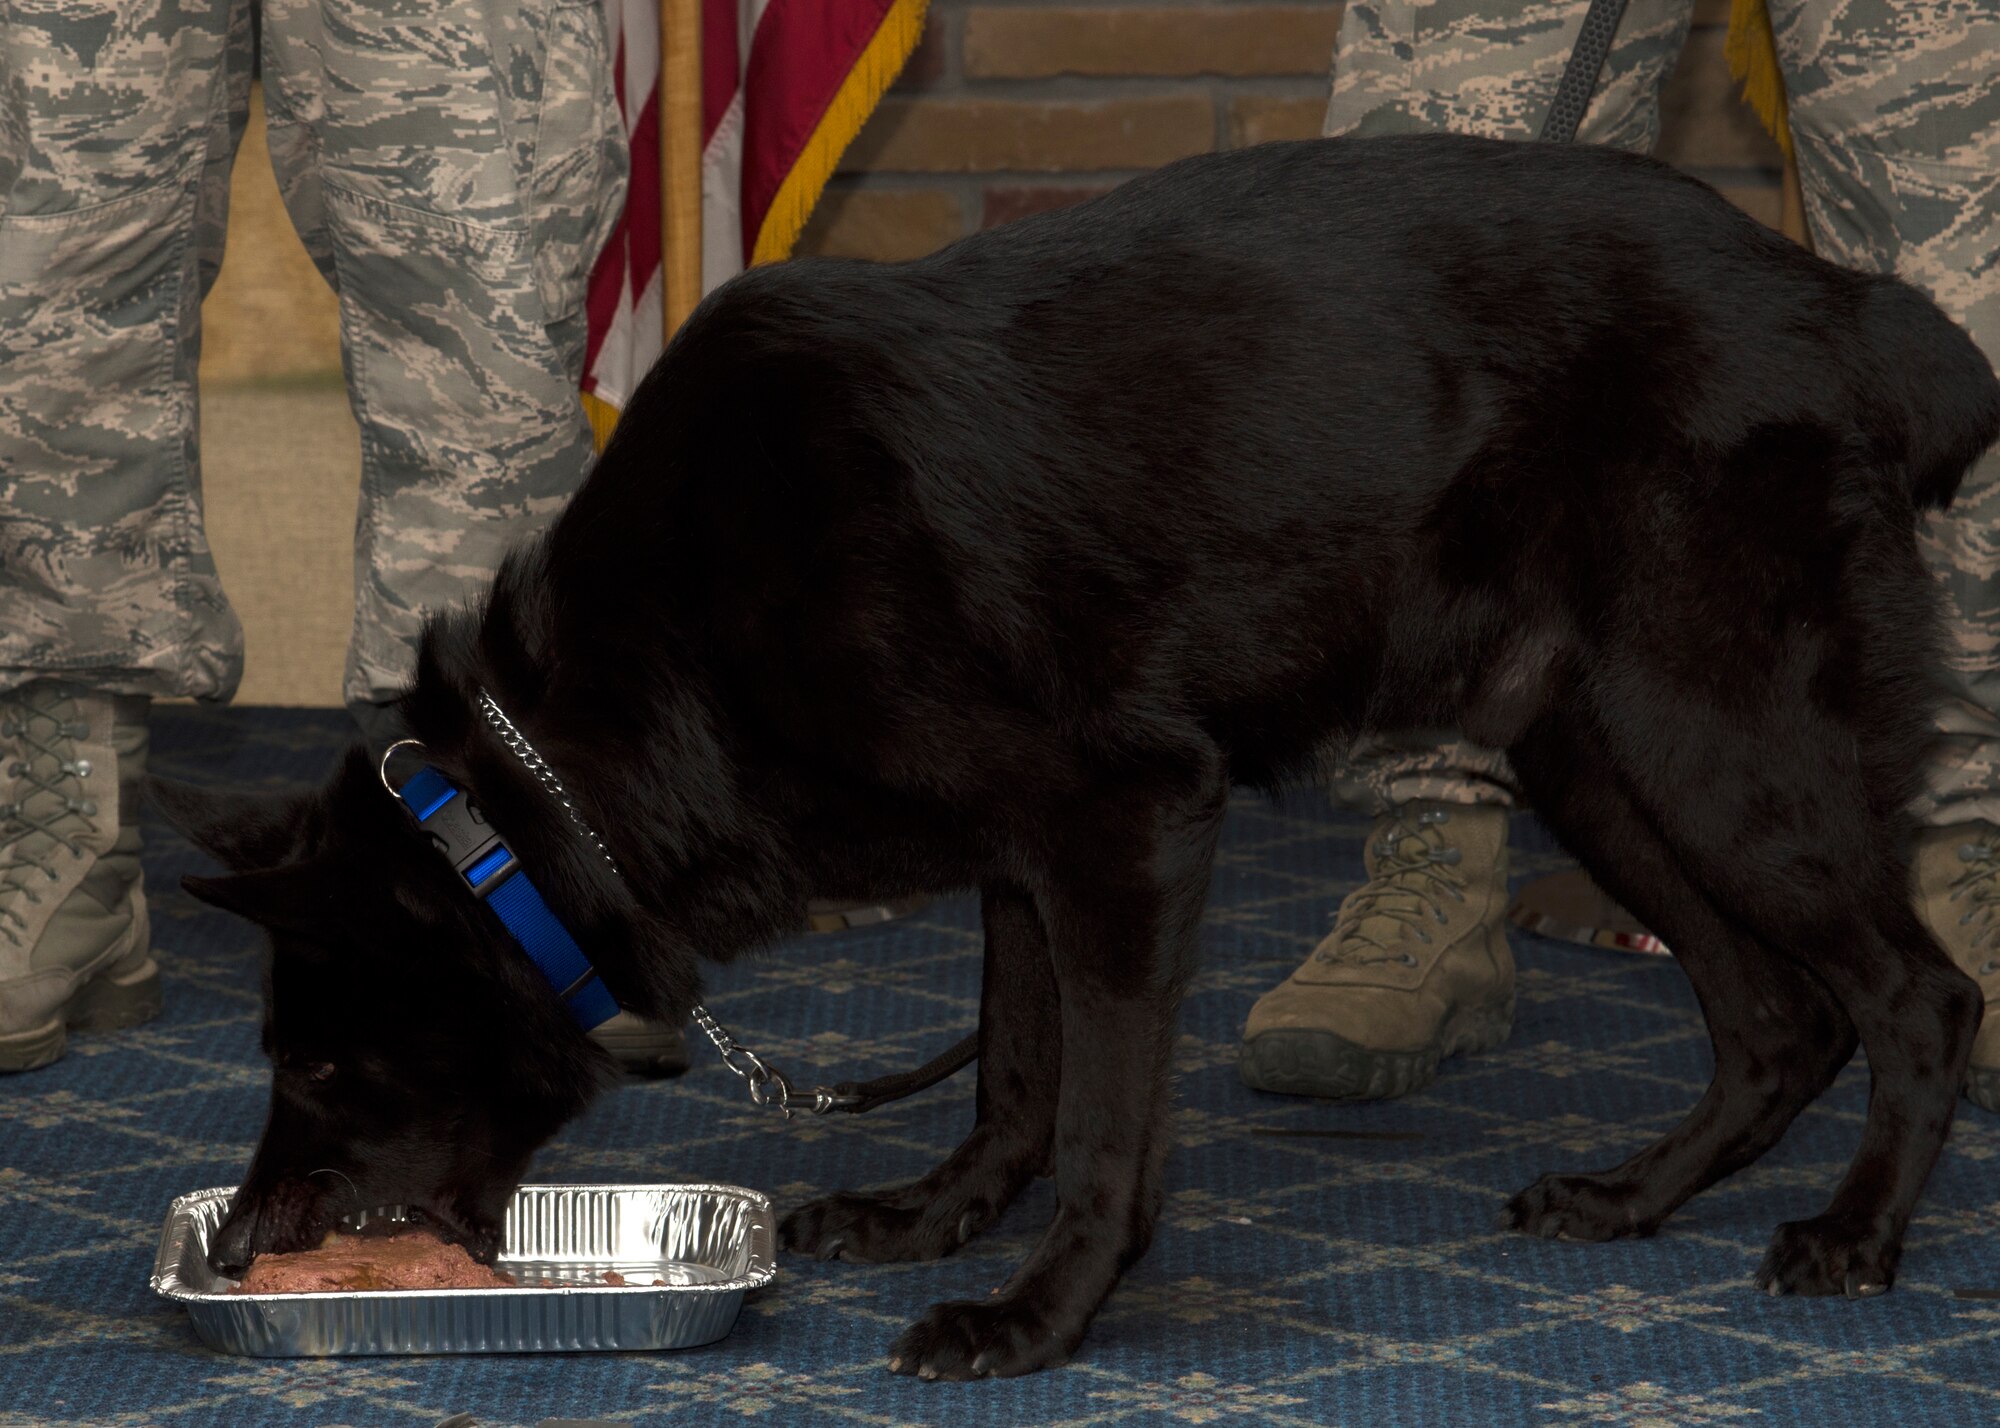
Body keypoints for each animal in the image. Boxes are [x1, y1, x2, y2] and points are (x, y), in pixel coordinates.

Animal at [160, 136, 2000, 1376]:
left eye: (324, 1068)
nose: (240, 1244)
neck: (569, 764)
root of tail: (1847, 301)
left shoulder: (1129, 824)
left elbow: (1110, 1123)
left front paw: (1039, 1312)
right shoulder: (1024, 858)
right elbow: (1017, 1076)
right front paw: (933, 1217)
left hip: (1719, 757)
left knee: (1919, 996)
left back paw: (1857, 1232)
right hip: (1600, 763)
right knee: (1778, 1023)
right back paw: (1634, 1200)